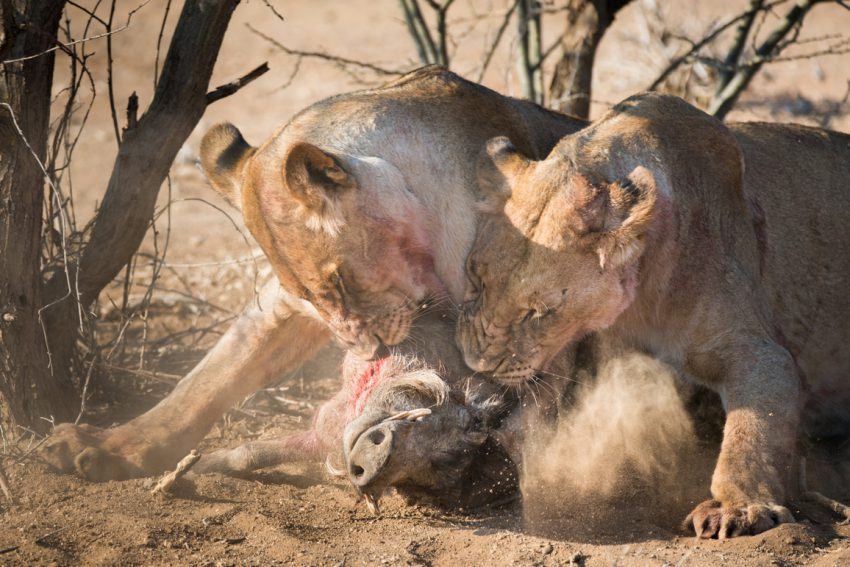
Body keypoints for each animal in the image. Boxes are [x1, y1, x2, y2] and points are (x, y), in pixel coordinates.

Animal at [43, 67, 580, 484]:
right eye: (310, 297)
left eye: (339, 282)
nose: (367, 353)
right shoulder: (278, 307)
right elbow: (210, 378)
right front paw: (111, 446)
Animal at [458, 92, 848, 536]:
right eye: (475, 276)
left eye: (539, 312)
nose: (476, 366)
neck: (643, 294)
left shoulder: (763, 355)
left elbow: (752, 428)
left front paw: (737, 509)